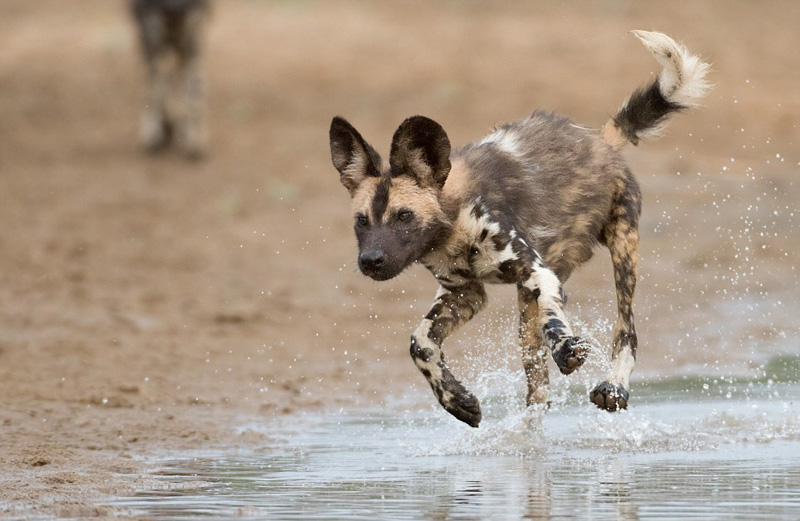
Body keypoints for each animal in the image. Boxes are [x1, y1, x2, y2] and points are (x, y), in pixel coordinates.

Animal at [130, 0, 209, 158]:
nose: (175, 10)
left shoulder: (191, 39)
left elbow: (192, 90)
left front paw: (193, 138)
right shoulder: (151, 36)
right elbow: (155, 90)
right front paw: (155, 133)